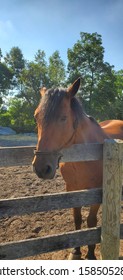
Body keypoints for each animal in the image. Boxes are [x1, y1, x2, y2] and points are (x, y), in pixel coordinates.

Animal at [32, 77, 123, 260]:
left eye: (63, 118)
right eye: (36, 117)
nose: (41, 168)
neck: (84, 155)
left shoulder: (97, 191)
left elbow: (91, 221)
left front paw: (91, 254)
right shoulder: (72, 189)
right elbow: (77, 218)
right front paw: (76, 250)